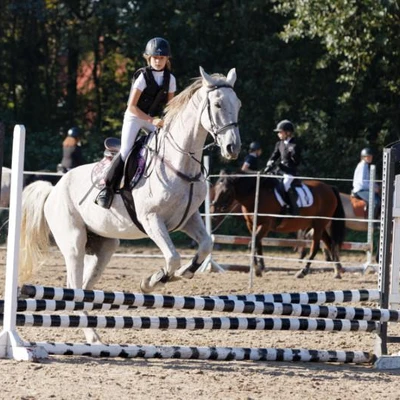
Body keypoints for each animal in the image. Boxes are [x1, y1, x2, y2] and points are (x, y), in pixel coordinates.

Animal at [19, 68, 241, 304]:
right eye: (217, 104)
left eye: (238, 104)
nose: (233, 148)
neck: (180, 163)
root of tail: (53, 189)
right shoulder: (151, 219)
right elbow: (172, 257)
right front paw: (153, 281)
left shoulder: (187, 218)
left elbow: (206, 244)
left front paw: (183, 273)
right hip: (74, 242)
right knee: (74, 285)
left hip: (103, 245)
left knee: (86, 287)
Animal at [209, 171, 346, 278]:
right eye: (215, 190)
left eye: (226, 192)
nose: (213, 213)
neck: (256, 196)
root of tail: (329, 188)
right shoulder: (251, 224)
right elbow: (257, 244)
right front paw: (259, 269)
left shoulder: (265, 224)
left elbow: (253, 244)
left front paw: (257, 269)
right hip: (318, 225)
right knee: (330, 243)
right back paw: (337, 271)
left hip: (319, 224)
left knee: (316, 246)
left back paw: (303, 271)